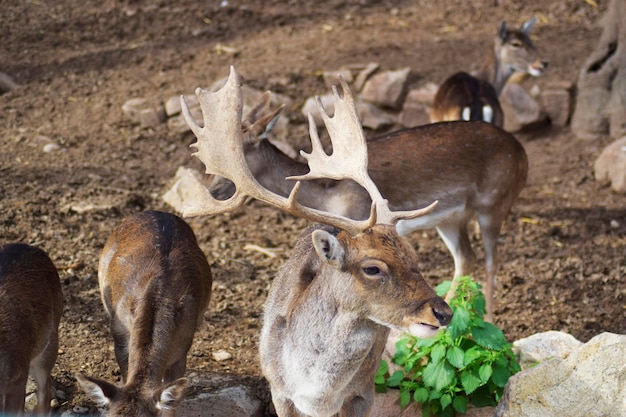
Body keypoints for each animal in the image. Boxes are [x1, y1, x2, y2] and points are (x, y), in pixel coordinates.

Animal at [178, 66, 450, 416]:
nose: (443, 312)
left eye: (413, 256)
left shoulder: (363, 394)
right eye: (372, 268)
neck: (317, 393)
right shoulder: (279, 391)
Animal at [205, 85, 528, 318]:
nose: (213, 190)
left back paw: (489, 322)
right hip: (449, 218)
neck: (326, 197)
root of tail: (521, 150)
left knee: (491, 260)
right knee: (465, 257)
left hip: (495, 200)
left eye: (234, 157)